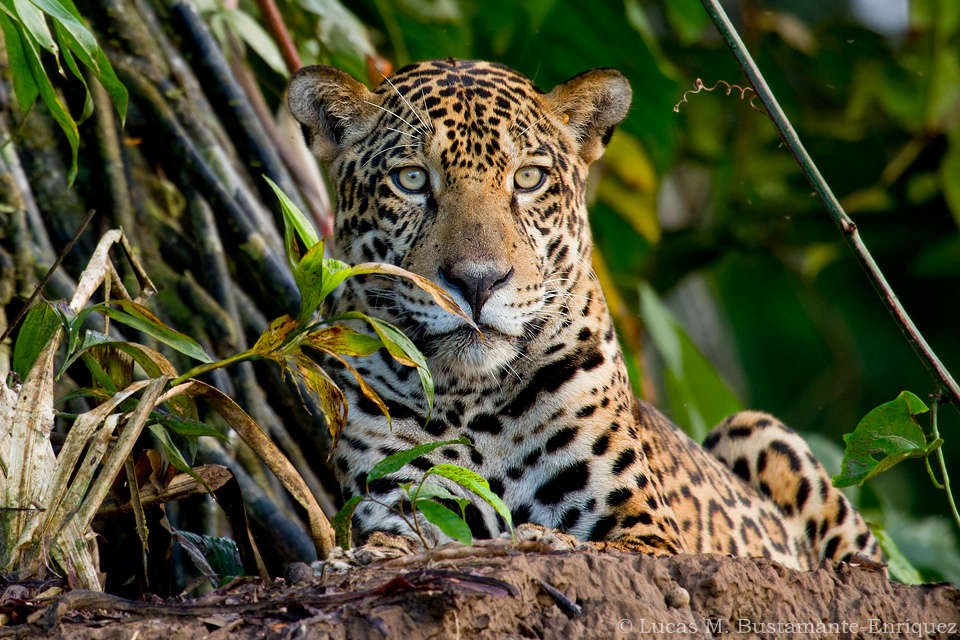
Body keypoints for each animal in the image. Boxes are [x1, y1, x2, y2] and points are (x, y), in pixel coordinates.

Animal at [287, 58, 882, 571]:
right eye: (411, 180)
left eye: (528, 179)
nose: (478, 281)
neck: (471, 401)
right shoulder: (401, 503)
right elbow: (392, 541)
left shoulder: (645, 529)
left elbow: (586, 541)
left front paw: (540, 539)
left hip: (758, 430)